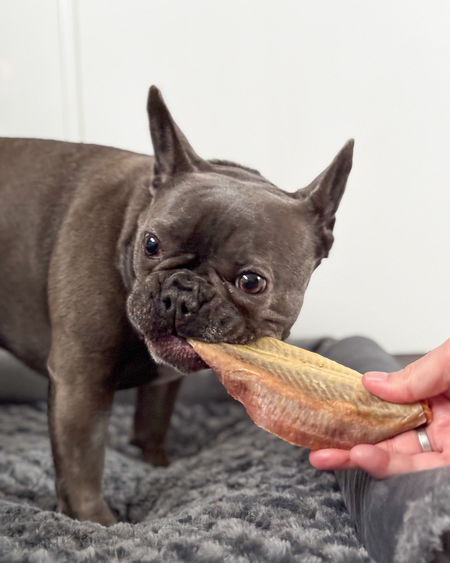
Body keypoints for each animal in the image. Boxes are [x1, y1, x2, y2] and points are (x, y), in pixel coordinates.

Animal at [0, 86, 354, 528]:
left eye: (251, 282)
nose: (181, 293)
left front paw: (154, 464)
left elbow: (152, 422)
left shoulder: (162, 384)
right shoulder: (80, 381)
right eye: (151, 244)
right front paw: (98, 523)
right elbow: (83, 464)